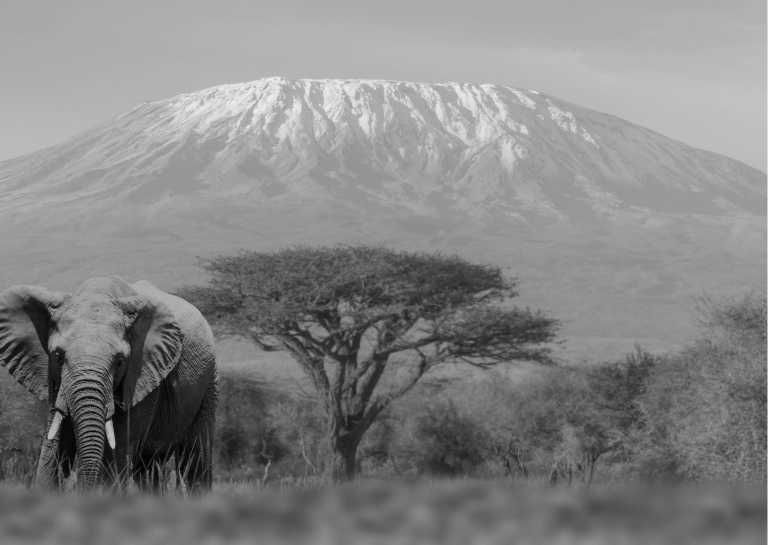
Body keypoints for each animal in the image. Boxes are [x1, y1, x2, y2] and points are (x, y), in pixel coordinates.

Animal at [0, 274, 218, 490]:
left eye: (120, 361)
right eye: (58, 356)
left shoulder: (143, 376)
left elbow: (115, 453)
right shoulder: (53, 378)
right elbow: (54, 450)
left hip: (209, 378)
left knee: (196, 458)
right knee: (149, 467)